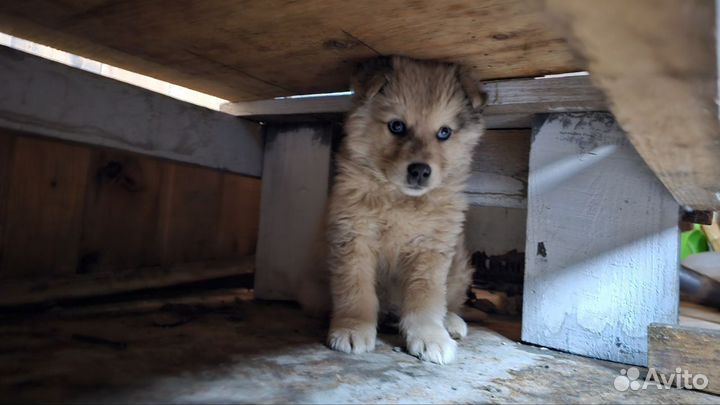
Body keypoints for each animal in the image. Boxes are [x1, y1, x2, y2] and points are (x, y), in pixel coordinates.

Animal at [324, 56, 484, 362]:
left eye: (444, 132)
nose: (420, 171)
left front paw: (430, 337)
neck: (401, 201)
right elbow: (355, 290)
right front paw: (353, 328)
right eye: (397, 126)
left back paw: (451, 322)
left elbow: (426, 299)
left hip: (459, 265)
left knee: (450, 301)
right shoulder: (354, 237)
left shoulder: (431, 249)